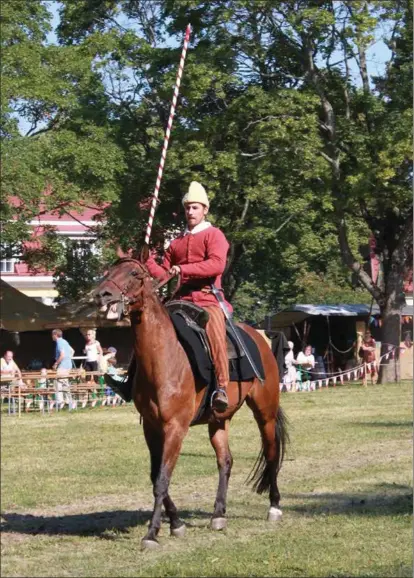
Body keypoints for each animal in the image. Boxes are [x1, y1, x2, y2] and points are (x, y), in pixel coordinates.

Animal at [93, 250, 288, 548]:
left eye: (134, 274)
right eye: (108, 272)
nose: (103, 294)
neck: (165, 357)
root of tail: (260, 337)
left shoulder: (175, 427)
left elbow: (162, 478)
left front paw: (152, 533)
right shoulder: (151, 427)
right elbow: (155, 476)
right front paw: (175, 523)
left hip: (264, 412)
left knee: (271, 452)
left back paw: (274, 507)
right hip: (218, 419)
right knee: (225, 461)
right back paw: (218, 515)